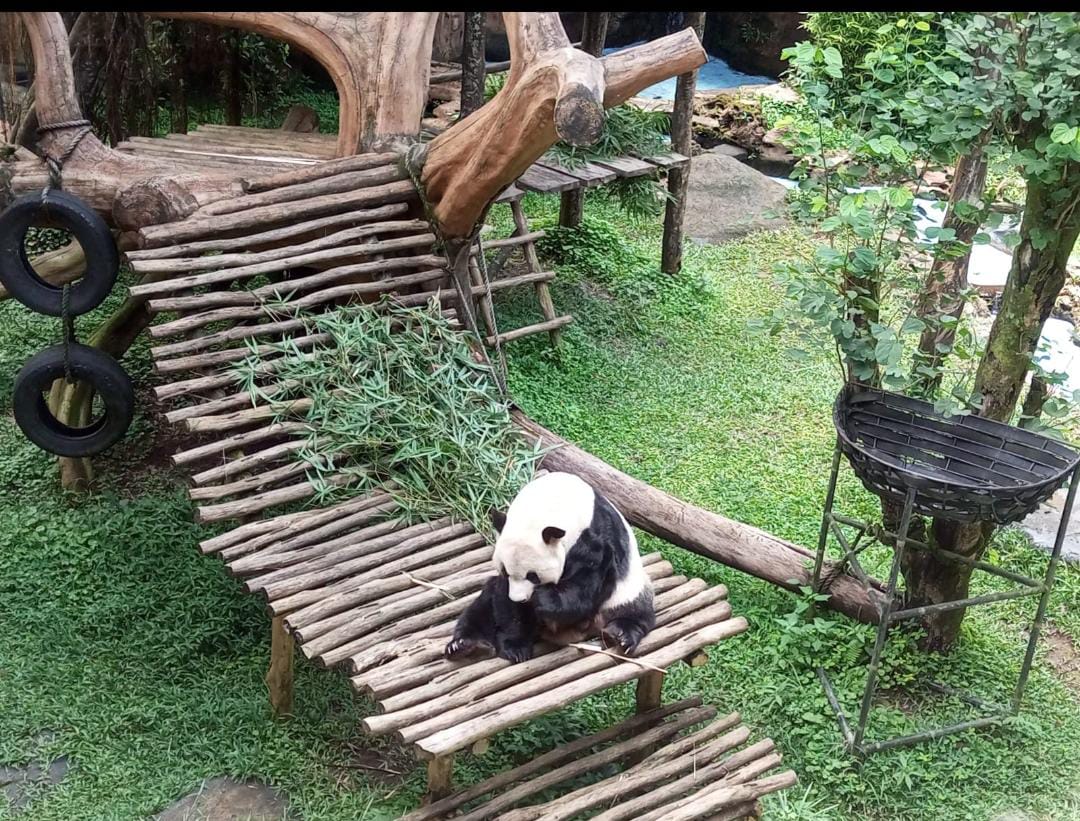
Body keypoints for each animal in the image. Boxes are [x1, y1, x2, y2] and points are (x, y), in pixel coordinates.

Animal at [445, 471, 655, 663]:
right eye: (505, 571)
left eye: (533, 576)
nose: (521, 599)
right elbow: (507, 602)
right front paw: (516, 647)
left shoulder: (595, 540)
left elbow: (585, 585)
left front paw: (544, 599)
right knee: (483, 605)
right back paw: (465, 645)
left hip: (626, 590)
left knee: (635, 609)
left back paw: (621, 634)